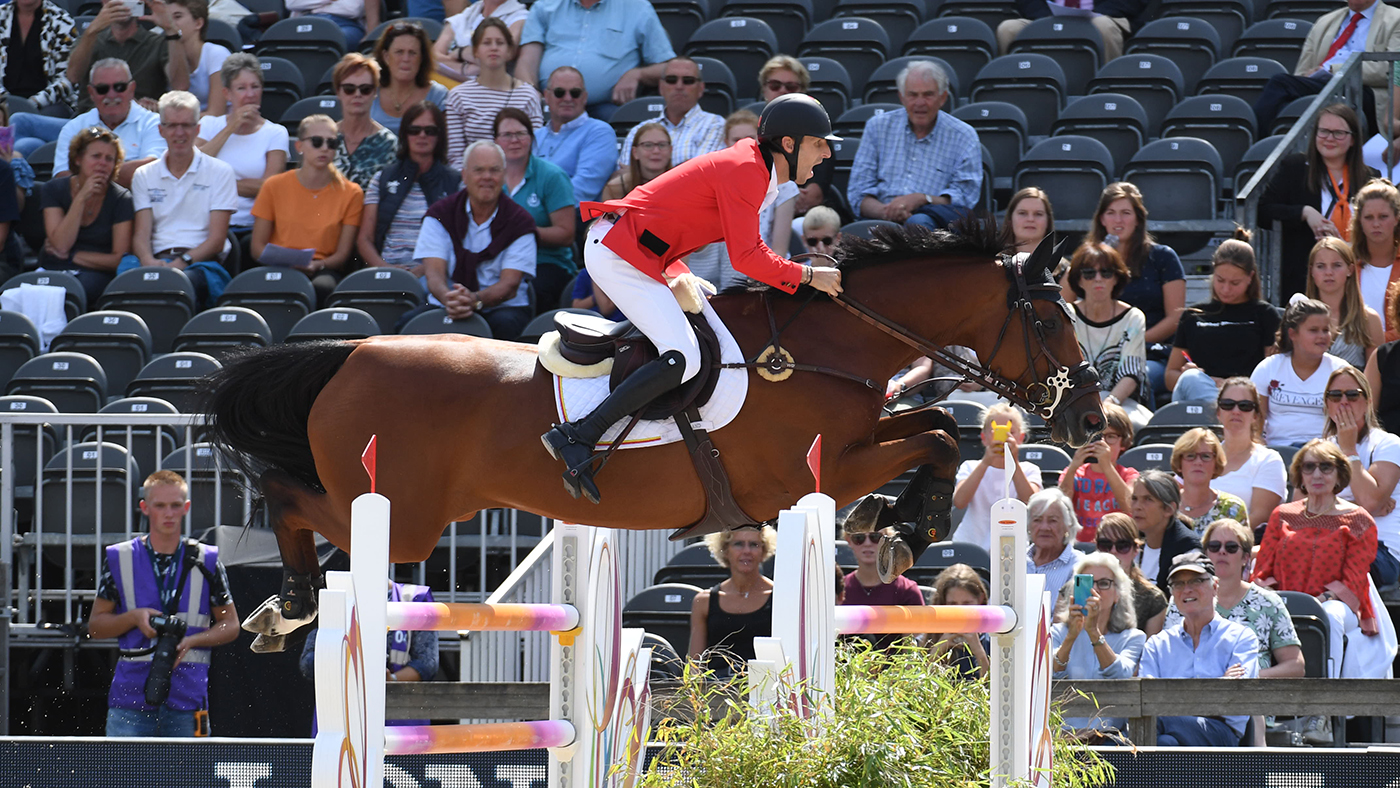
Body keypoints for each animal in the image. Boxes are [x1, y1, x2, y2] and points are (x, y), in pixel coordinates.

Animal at [202, 225, 1105, 651]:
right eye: (1054, 319)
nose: (1090, 421)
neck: (829, 344)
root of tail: (351, 352)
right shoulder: (812, 472)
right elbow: (938, 436)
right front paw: (904, 525)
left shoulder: (852, 444)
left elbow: (936, 427)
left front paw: (898, 525)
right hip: (403, 514)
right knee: (286, 496)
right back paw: (284, 605)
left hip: (403, 512)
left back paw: (285, 606)